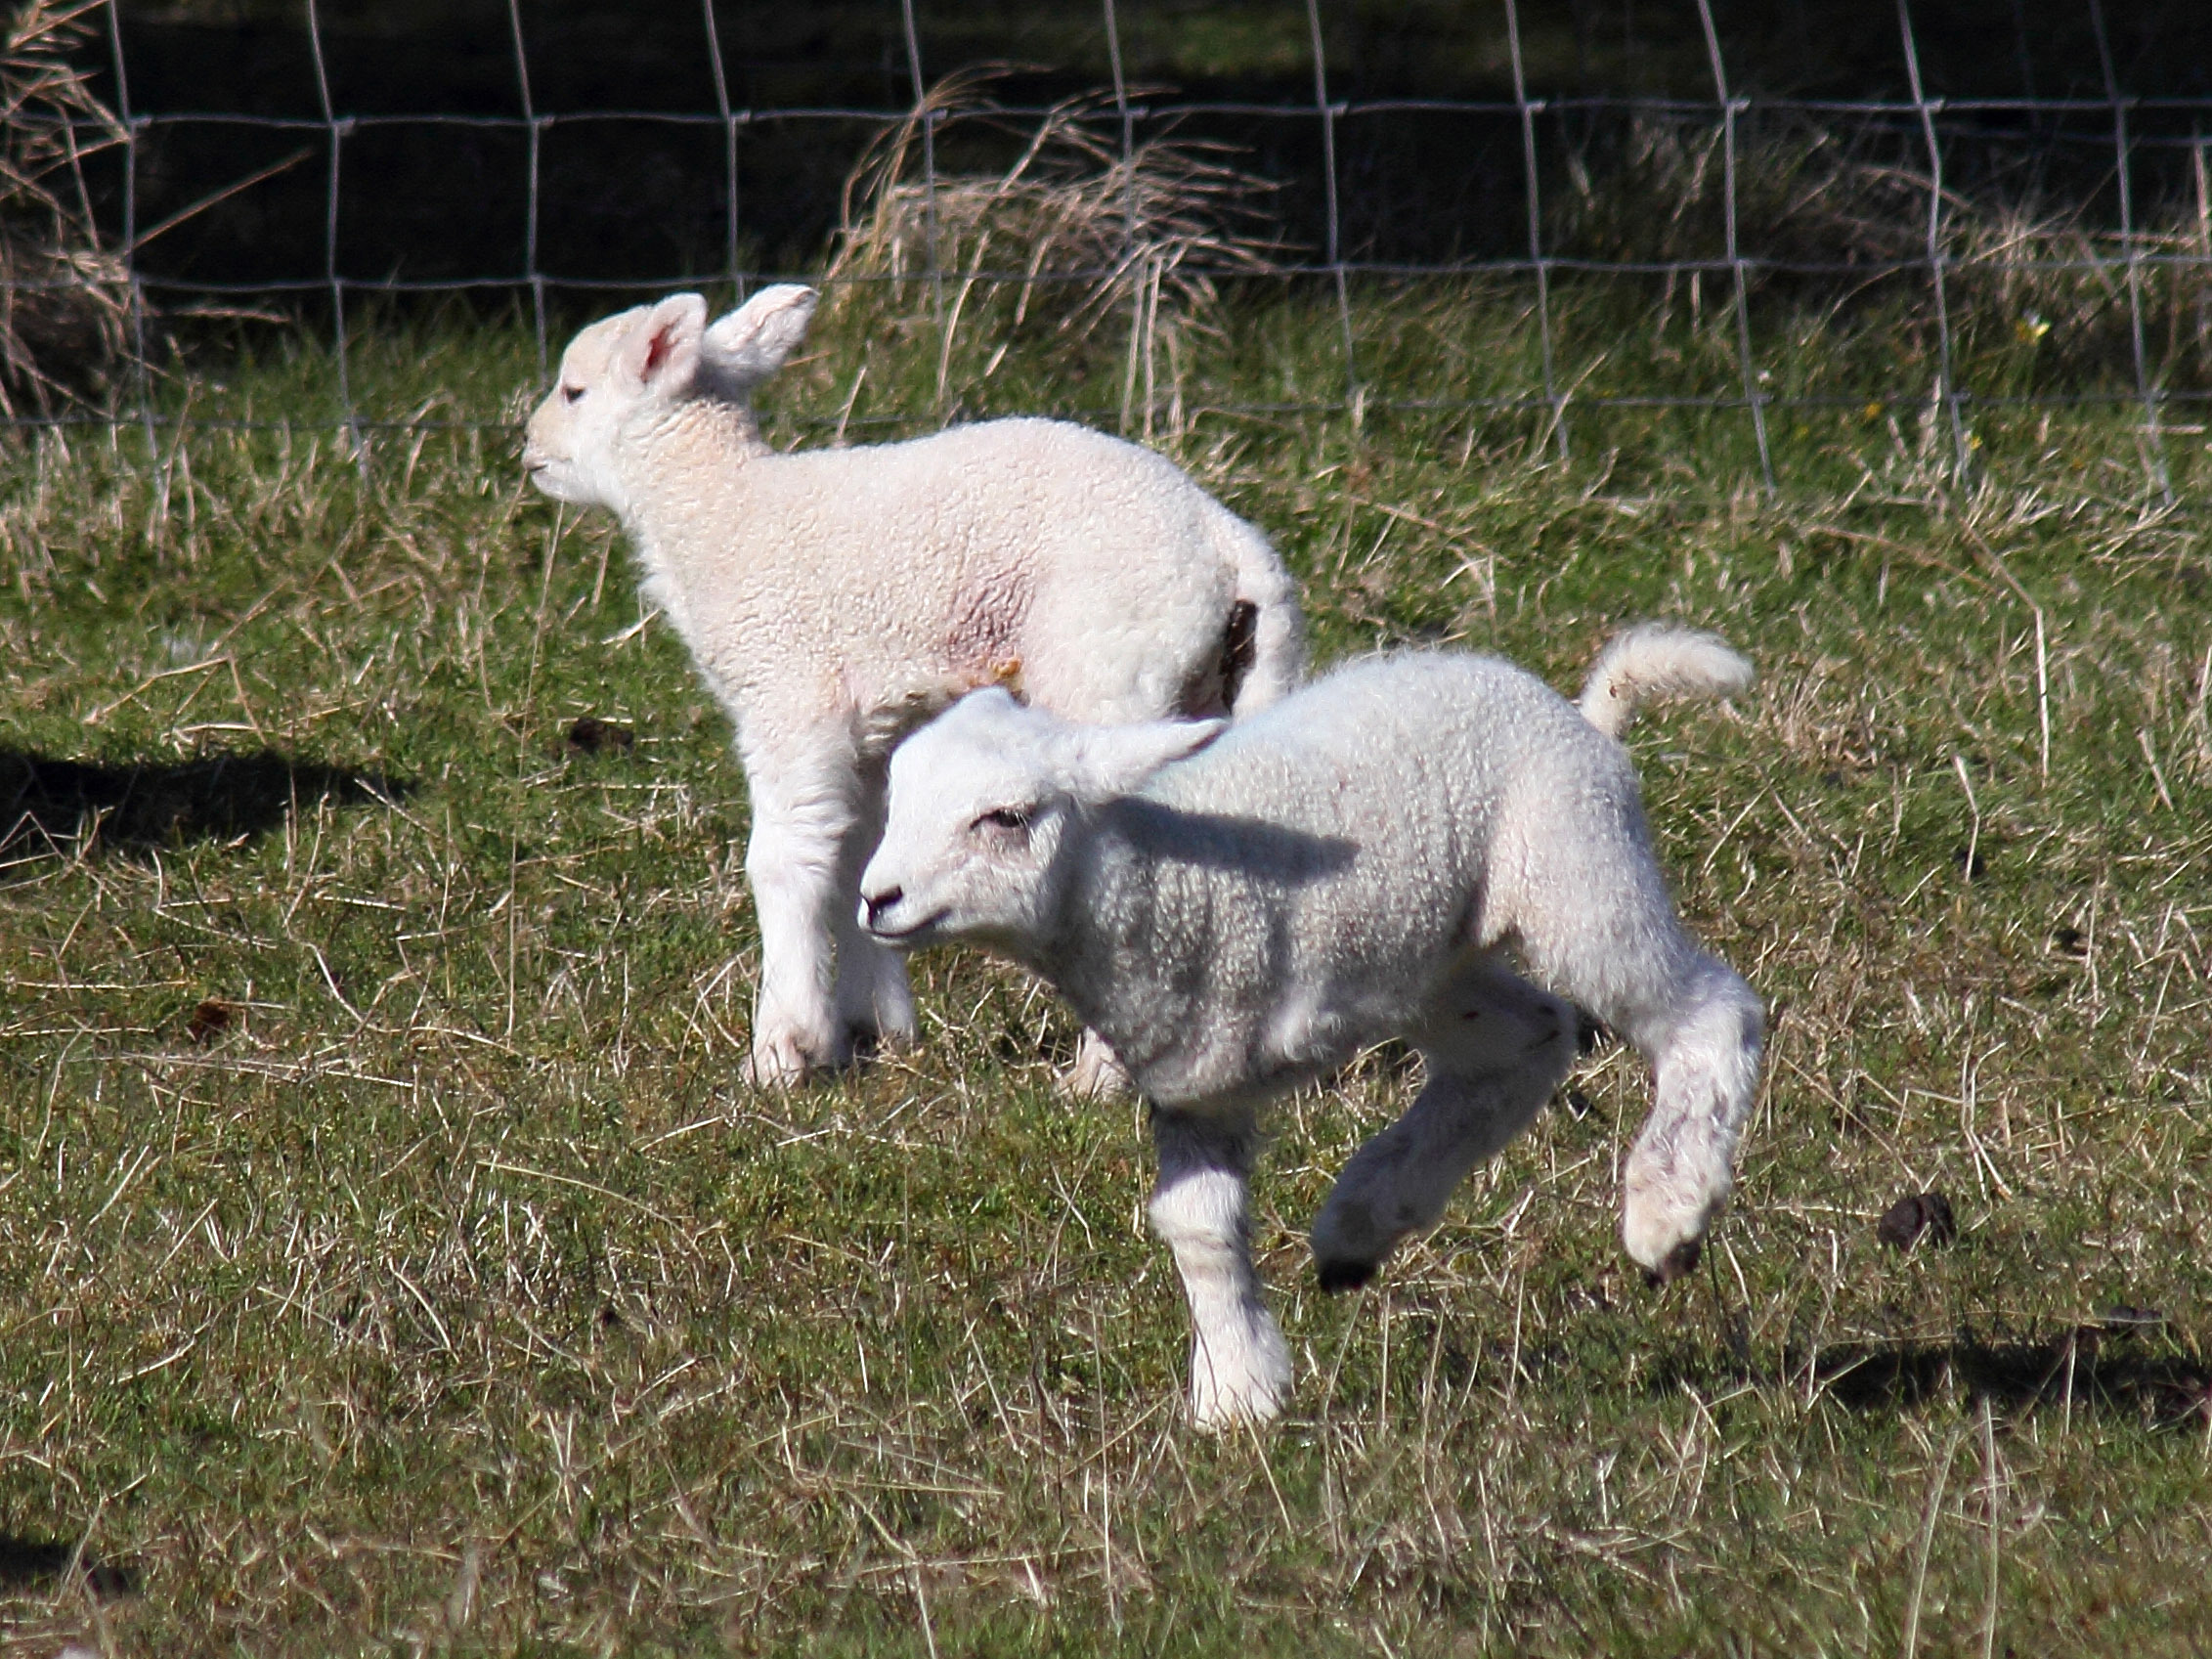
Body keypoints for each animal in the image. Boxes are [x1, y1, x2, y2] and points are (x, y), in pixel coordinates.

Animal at [519, 284, 1300, 1092]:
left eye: (574, 392)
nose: (527, 447)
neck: (719, 512)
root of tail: (1228, 544)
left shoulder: (789, 694)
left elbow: (785, 858)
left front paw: (782, 1050)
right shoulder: (863, 727)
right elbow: (857, 854)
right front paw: (875, 1028)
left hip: (1108, 665)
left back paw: (1098, 1078)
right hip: (1215, 685)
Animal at [858, 624, 1760, 1433]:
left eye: (1005, 817)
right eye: (897, 798)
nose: (876, 898)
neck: (1157, 879)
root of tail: (1571, 712)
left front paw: (1236, 1391)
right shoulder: (1197, 1081)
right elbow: (1198, 1228)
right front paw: (1237, 1394)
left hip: (1575, 872)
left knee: (1705, 1012)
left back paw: (1666, 1210)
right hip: (1426, 964)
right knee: (1524, 1041)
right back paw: (1363, 1221)